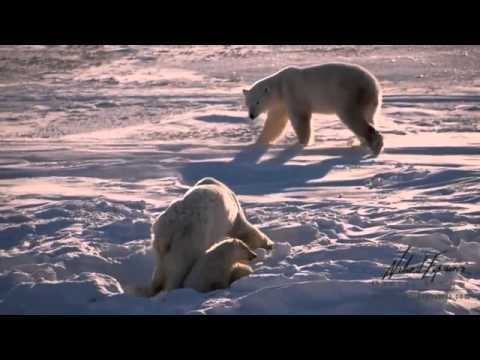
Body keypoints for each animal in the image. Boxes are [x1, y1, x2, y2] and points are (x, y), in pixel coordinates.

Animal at [242, 63, 384, 155]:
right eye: (248, 103)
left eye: (258, 102)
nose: (251, 115)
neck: (280, 85)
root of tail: (373, 85)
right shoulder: (281, 103)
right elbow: (275, 122)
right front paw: (258, 143)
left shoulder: (293, 93)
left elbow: (300, 118)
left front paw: (301, 144)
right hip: (368, 102)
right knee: (367, 117)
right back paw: (361, 144)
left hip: (348, 95)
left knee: (352, 117)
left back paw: (375, 146)